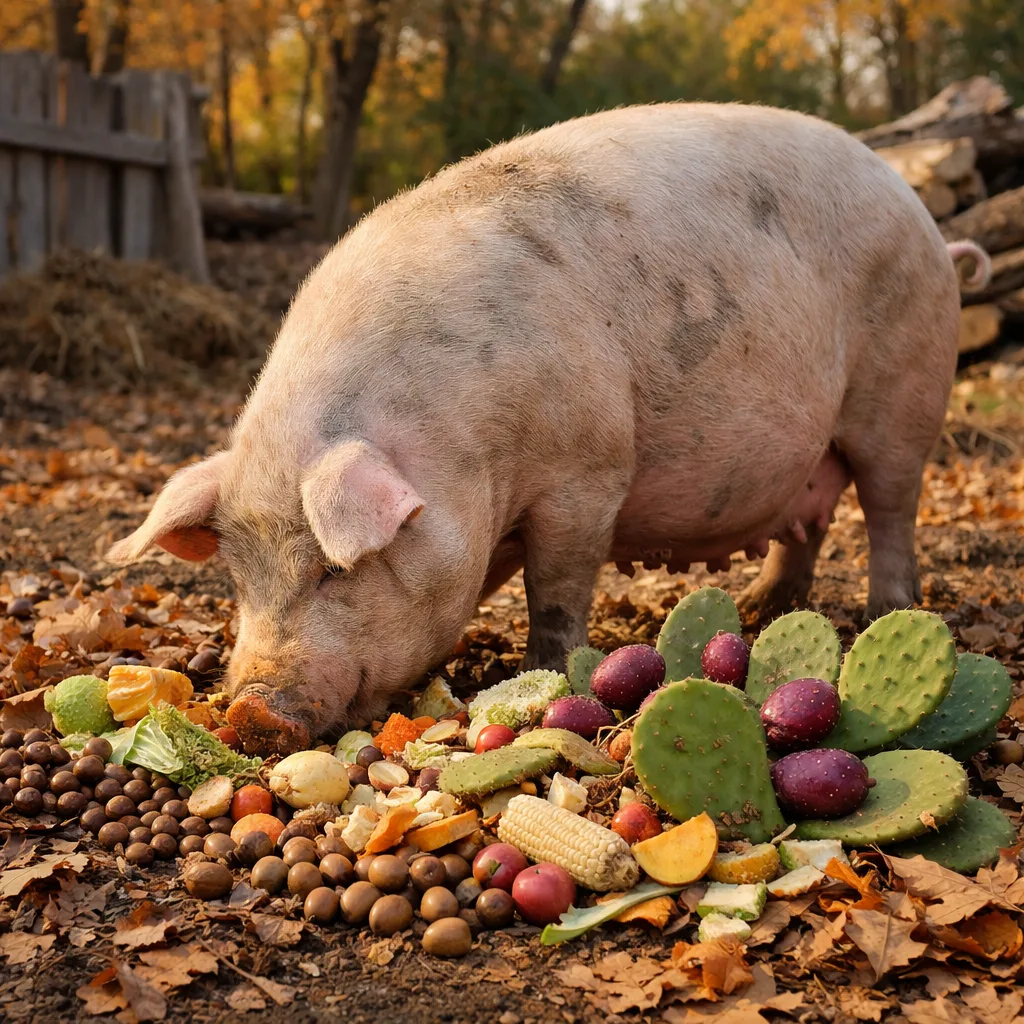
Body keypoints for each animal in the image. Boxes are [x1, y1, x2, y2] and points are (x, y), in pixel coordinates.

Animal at [106, 102, 990, 756]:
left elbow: (557, 588)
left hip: (904, 394)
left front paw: (545, 672)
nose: (249, 711)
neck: (461, 448)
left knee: (889, 508)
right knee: (807, 522)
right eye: (237, 578)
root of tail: (931, 226)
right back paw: (761, 603)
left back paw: (884, 612)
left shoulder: (587, 473)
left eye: (332, 571)